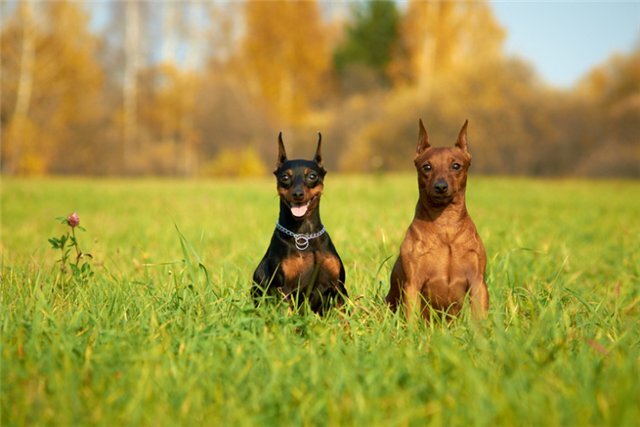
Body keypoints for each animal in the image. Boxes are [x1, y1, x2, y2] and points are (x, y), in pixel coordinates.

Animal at [252, 132, 348, 316]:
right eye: (285, 177)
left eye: (312, 176)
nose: (298, 194)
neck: (305, 234)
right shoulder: (284, 290)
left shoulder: (338, 287)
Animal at [384, 118, 490, 322]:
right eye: (427, 166)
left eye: (456, 166)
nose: (440, 186)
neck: (445, 226)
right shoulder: (412, 285)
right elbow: (412, 320)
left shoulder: (478, 284)